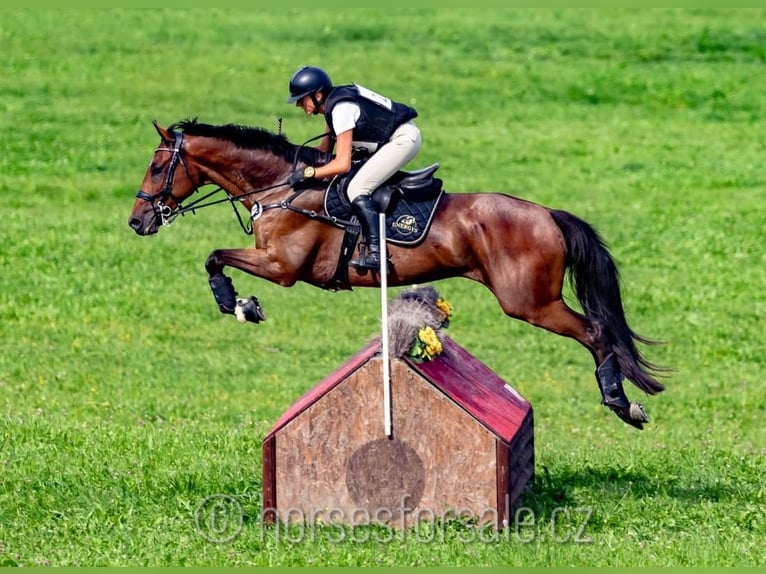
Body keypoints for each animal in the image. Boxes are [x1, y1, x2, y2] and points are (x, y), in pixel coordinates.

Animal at [127, 119, 664, 430]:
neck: (283, 188)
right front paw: (241, 303)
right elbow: (214, 256)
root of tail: (548, 214)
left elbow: (215, 257)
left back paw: (622, 404)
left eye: (155, 166)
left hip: (529, 302)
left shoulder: (281, 267)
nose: (137, 221)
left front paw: (239, 305)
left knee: (596, 333)